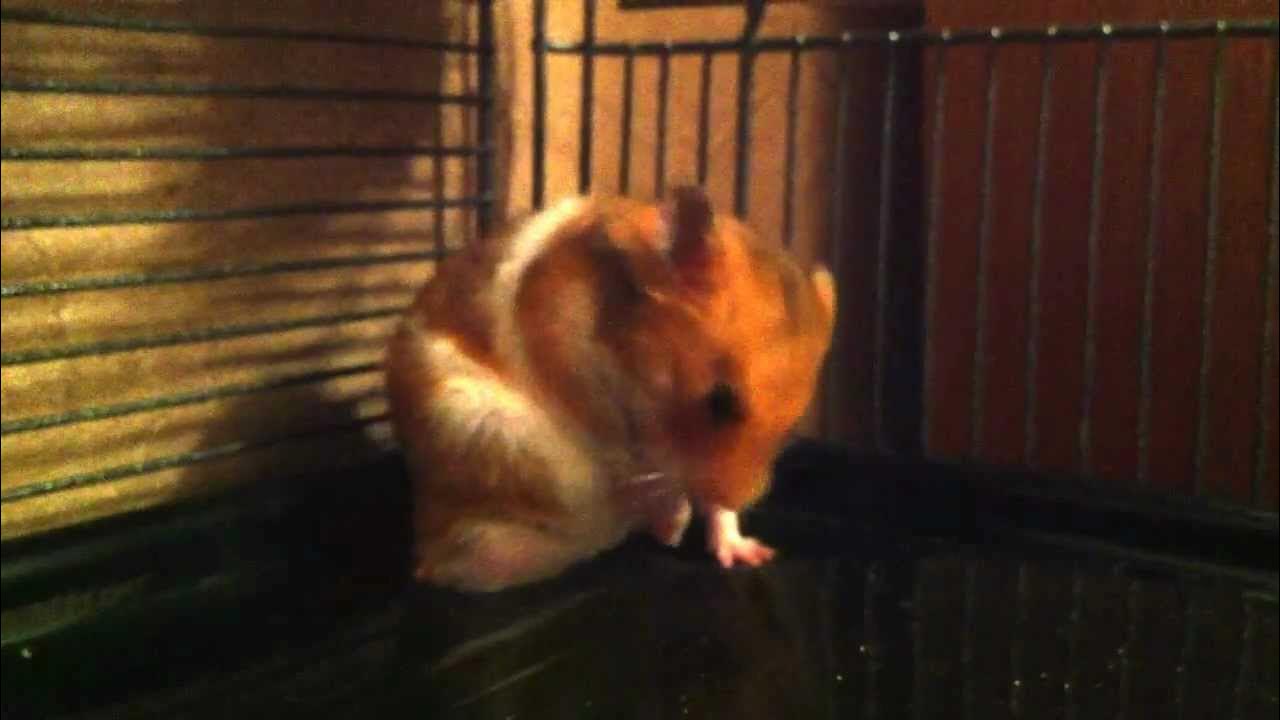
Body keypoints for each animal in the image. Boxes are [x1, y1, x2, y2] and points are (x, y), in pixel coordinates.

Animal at [385, 186, 836, 592]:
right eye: (720, 400)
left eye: (792, 423)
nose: (738, 498)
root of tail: (426, 538)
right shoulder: (580, 385)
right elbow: (638, 463)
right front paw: (675, 522)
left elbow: (702, 503)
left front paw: (751, 552)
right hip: (491, 440)